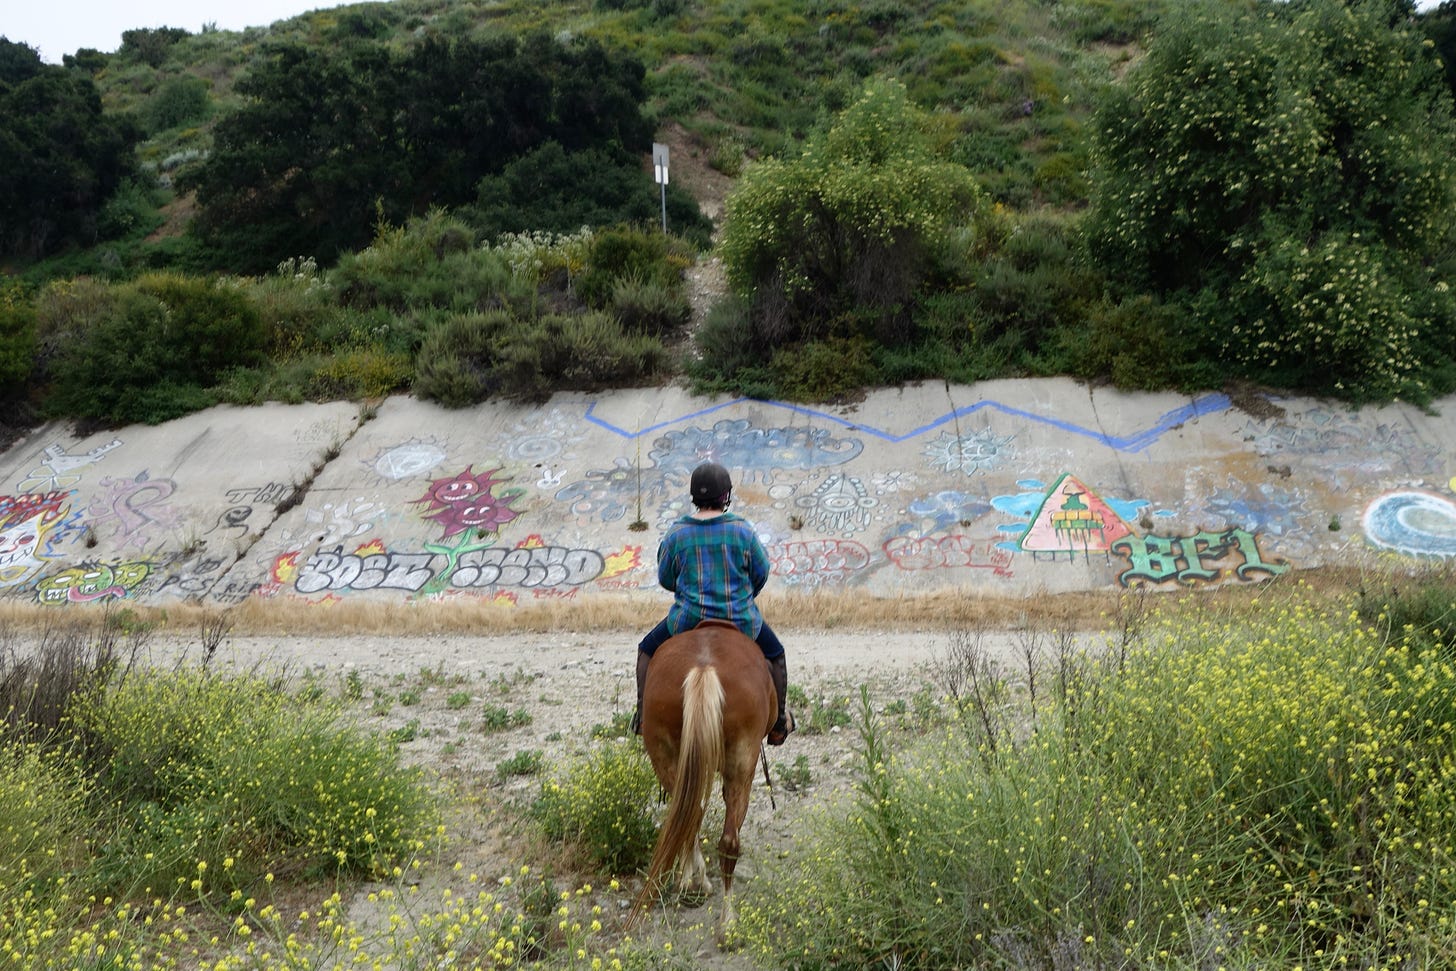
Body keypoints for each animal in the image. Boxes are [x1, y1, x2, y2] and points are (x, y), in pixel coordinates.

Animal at [628, 620, 780, 943]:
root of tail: (704, 667)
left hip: (666, 754)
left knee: (688, 816)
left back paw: (695, 888)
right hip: (742, 762)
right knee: (728, 840)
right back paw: (726, 922)